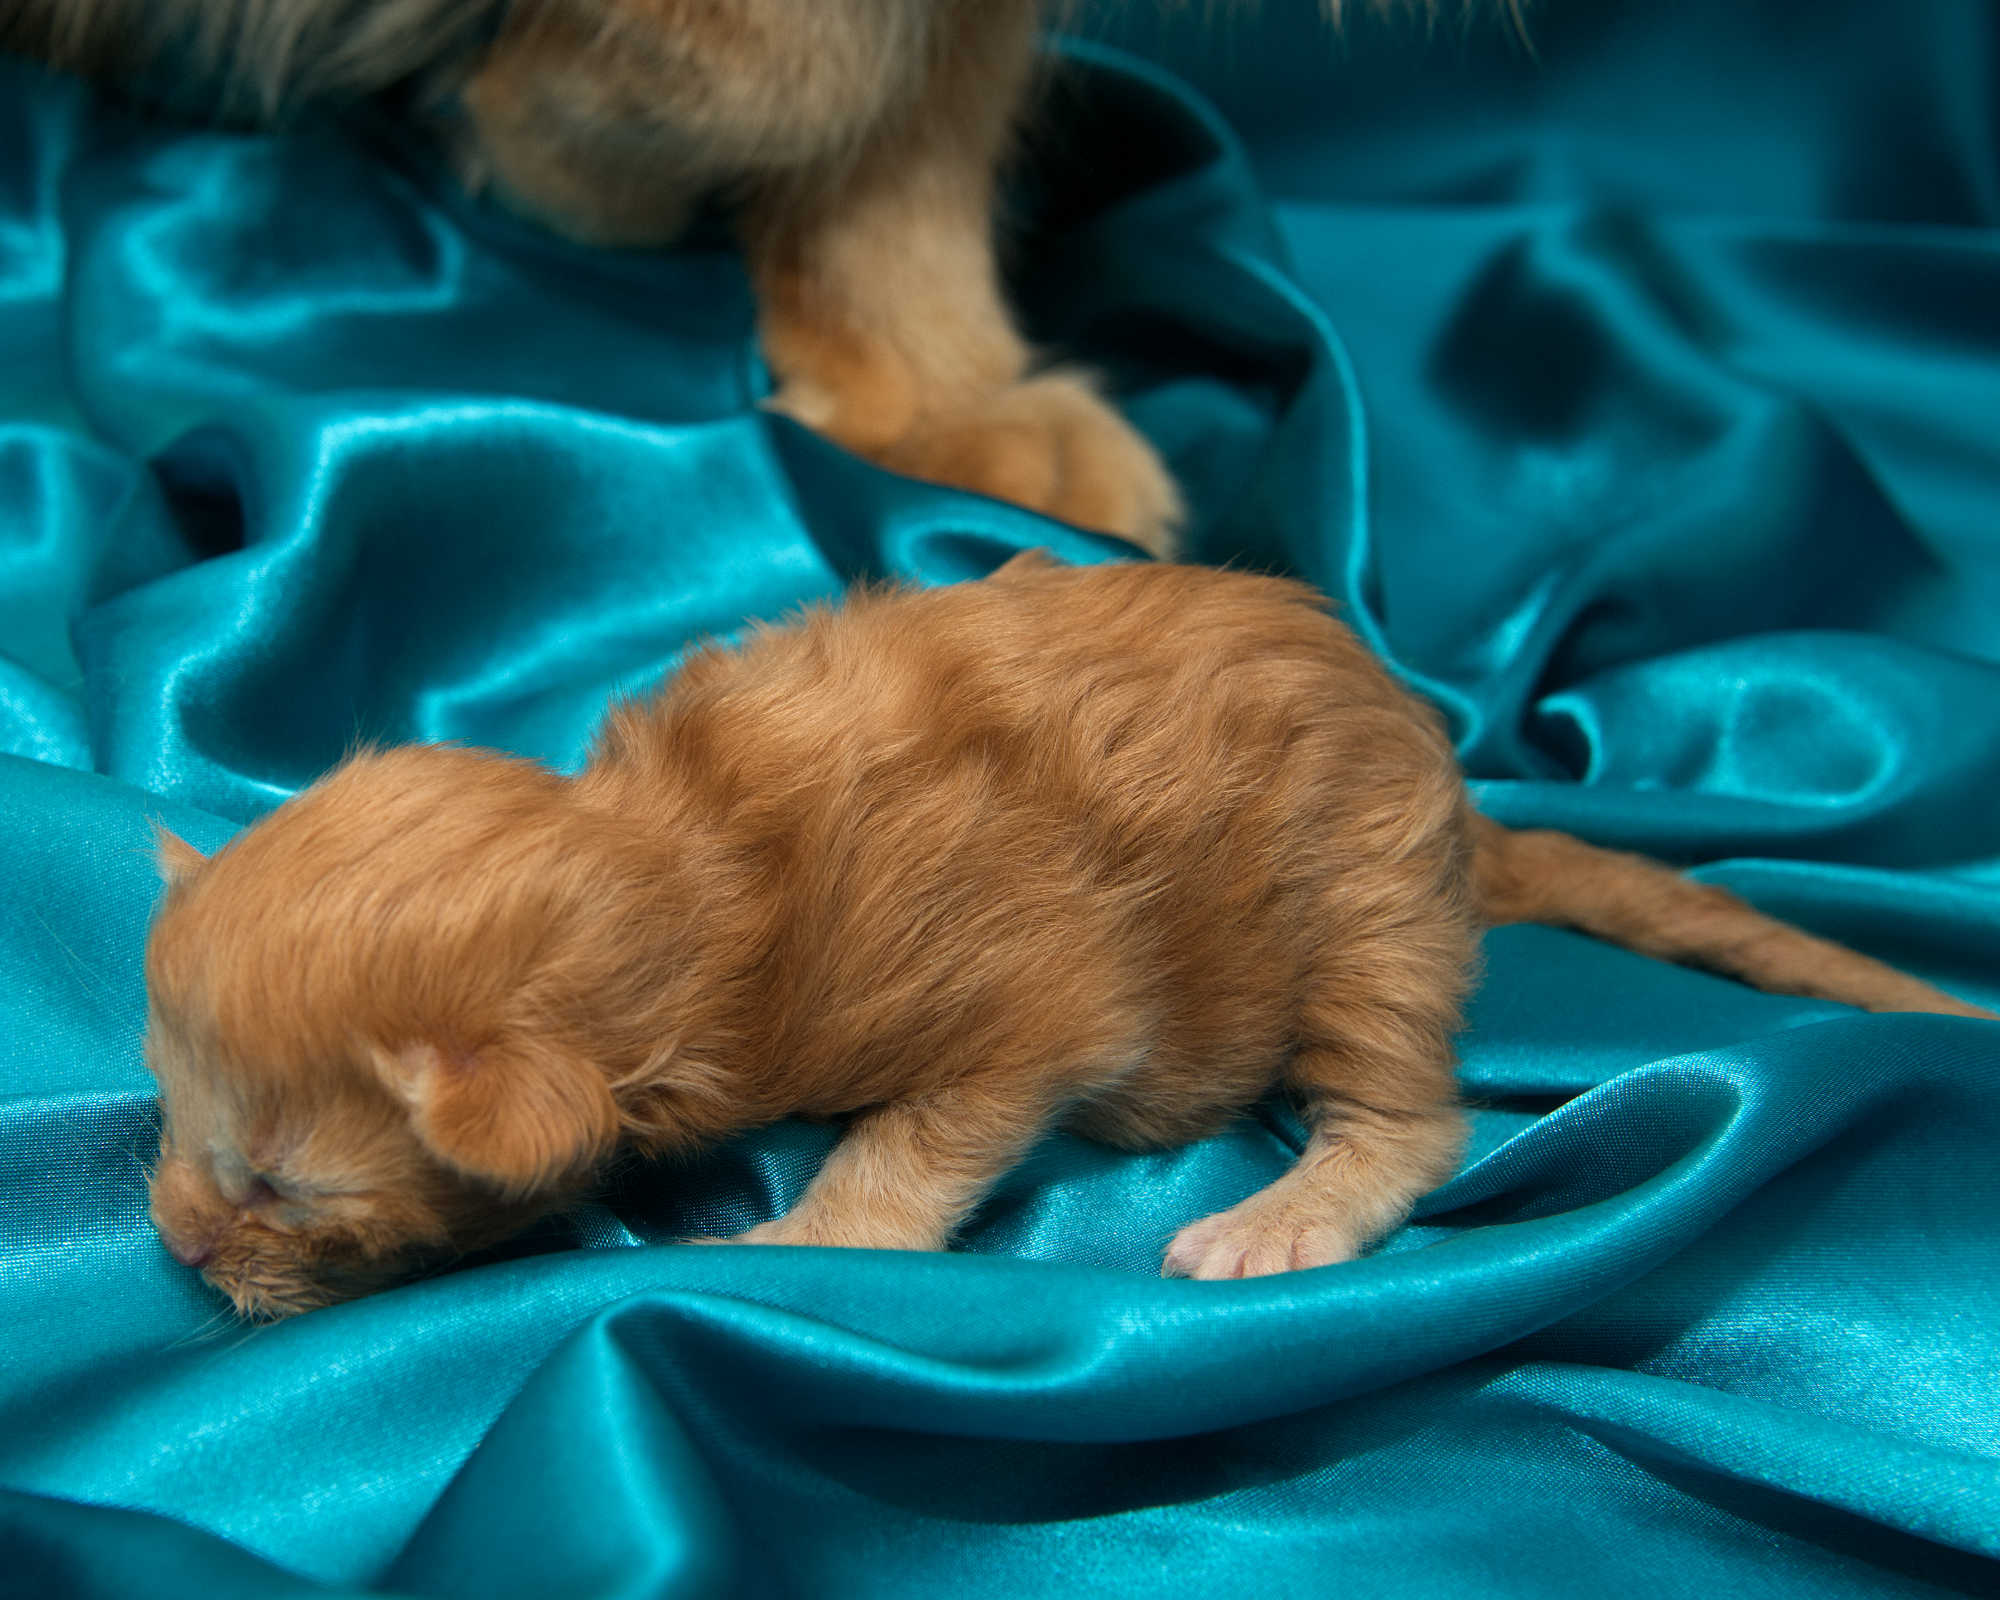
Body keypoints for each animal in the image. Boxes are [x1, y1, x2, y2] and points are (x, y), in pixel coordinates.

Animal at [142, 552, 1994, 1319]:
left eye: (274, 1187)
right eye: (170, 1123)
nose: (170, 1240)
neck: (687, 863)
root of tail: (1444, 772)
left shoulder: (1032, 997)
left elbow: (921, 1140)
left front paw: (803, 1240)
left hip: (1367, 903)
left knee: (1412, 1113)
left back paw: (1282, 1217)